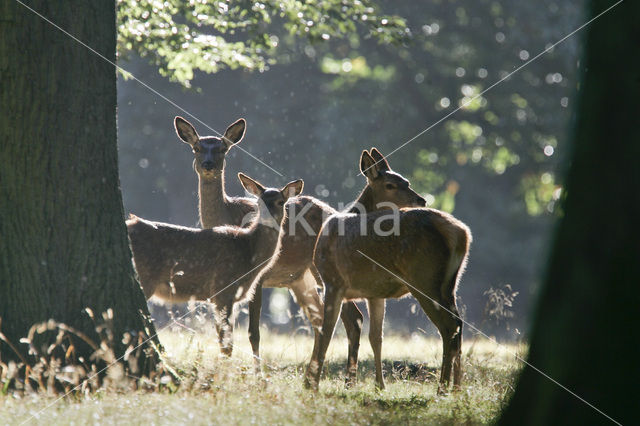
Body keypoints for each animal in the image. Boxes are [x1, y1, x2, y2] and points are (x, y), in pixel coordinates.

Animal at [128, 172, 304, 356]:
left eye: (280, 202)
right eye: (258, 202)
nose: (266, 218)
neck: (248, 251)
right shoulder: (222, 289)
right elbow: (226, 344)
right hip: (144, 277)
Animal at [304, 148, 470, 394]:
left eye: (407, 182)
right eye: (392, 184)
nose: (420, 199)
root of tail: (461, 233)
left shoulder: (333, 282)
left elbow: (327, 330)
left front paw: (311, 384)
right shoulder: (374, 293)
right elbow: (376, 336)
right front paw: (379, 385)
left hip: (424, 279)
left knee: (449, 326)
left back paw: (442, 388)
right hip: (449, 285)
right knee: (458, 323)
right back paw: (457, 387)